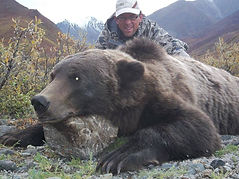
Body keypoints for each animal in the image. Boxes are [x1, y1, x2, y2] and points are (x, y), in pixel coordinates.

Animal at [0, 37, 239, 173]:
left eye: (76, 77)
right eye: (53, 75)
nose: (39, 101)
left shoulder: (160, 98)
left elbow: (200, 128)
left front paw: (120, 156)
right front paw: (14, 135)